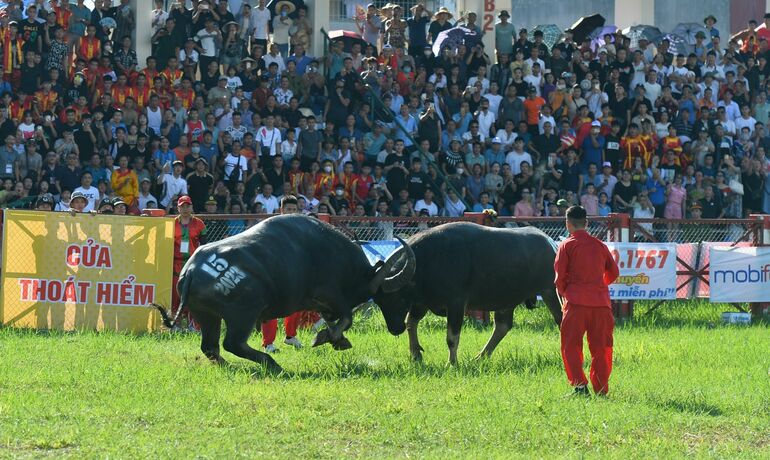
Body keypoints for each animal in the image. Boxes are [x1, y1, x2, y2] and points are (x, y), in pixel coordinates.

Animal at [152, 214, 412, 372]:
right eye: (389, 297)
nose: (397, 327)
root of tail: (192, 270)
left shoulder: (320, 303)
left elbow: (332, 320)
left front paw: (336, 340)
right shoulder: (331, 294)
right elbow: (346, 318)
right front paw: (324, 339)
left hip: (207, 315)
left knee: (210, 346)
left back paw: (230, 366)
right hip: (243, 314)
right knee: (232, 343)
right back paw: (272, 364)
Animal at [372, 221, 560, 364]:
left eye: (397, 298)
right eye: (380, 302)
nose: (395, 329)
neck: (427, 262)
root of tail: (551, 243)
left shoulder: (456, 303)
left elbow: (452, 336)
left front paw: (452, 363)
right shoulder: (421, 303)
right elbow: (411, 323)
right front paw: (415, 355)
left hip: (550, 291)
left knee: (560, 320)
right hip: (506, 300)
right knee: (502, 326)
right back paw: (480, 357)